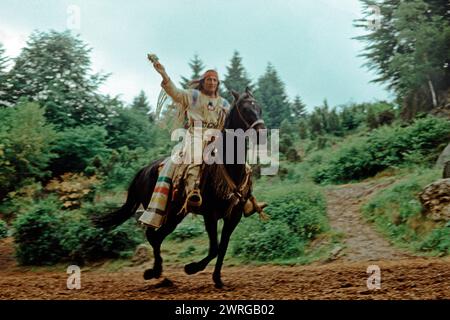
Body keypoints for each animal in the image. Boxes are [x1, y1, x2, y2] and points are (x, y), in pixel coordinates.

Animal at [94, 89, 264, 288]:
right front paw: (191, 268)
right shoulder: (210, 215)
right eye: (245, 109)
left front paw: (218, 279)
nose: (262, 132)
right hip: (161, 209)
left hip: (176, 214)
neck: (229, 167)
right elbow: (214, 248)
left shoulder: (234, 216)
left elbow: (222, 247)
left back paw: (158, 273)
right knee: (152, 235)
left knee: (157, 237)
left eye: (259, 107)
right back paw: (154, 272)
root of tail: (144, 170)